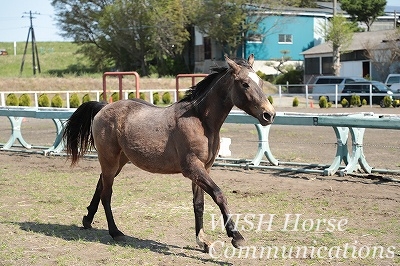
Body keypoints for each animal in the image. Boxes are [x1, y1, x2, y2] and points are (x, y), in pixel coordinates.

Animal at [63, 54, 276, 251]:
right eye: (245, 84)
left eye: (260, 82)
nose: (269, 114)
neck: (200, 120)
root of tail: (104, 107)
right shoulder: (193, 168)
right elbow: (218, 195)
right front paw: (236, 236)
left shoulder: (203, 170)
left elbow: (199, 204)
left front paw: (203, 241)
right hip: (109, 160)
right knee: (106, 193)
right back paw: (115, 232)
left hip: (118, 162)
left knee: (100, 185)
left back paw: (87, 219)